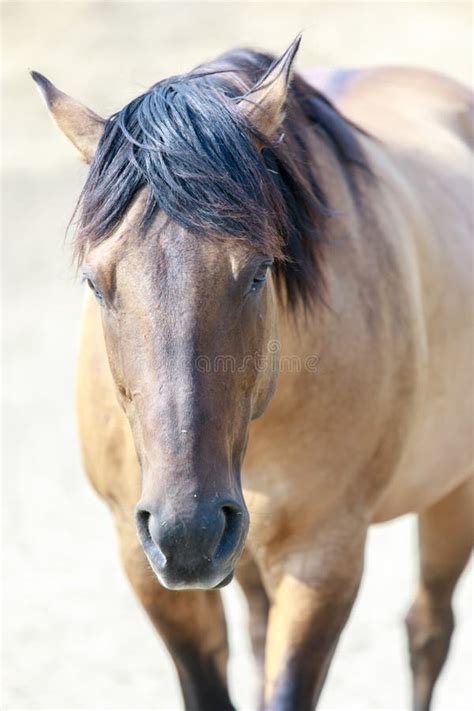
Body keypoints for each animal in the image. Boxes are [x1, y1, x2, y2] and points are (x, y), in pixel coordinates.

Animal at [31, 37, 472, 711]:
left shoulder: (324, 558)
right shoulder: (146, 566)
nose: (186, 533)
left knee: (428, 630)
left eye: (261, 270)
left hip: (453, 493)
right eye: (95, 283)